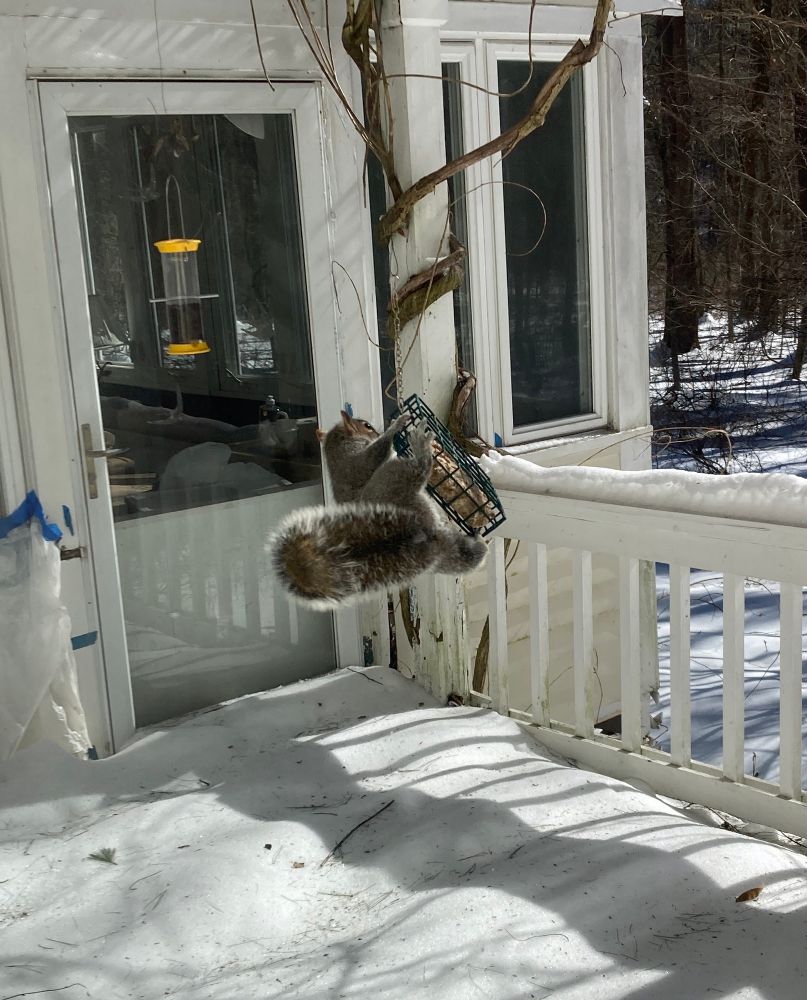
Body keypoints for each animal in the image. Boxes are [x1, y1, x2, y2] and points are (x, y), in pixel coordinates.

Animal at [269, 411, 488, 610]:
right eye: (366, 426)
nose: (377, 431)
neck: (335, 447)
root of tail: (421, 532)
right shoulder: (353, 461)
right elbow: (373, 455)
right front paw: (396, 425)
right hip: (392, 479)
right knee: (418, 467)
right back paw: (420, 447)